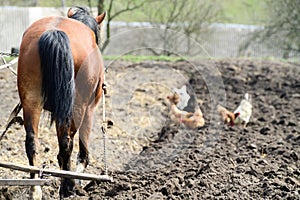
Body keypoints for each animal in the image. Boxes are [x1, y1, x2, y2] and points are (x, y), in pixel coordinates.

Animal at [16, 6, 105, 198]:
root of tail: (54, 31)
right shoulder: (90, 109)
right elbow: (82, 150)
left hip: (31, 100)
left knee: (31, 142)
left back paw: (35, 189)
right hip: (78, 104)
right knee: (66, 143)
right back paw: (68, 186)